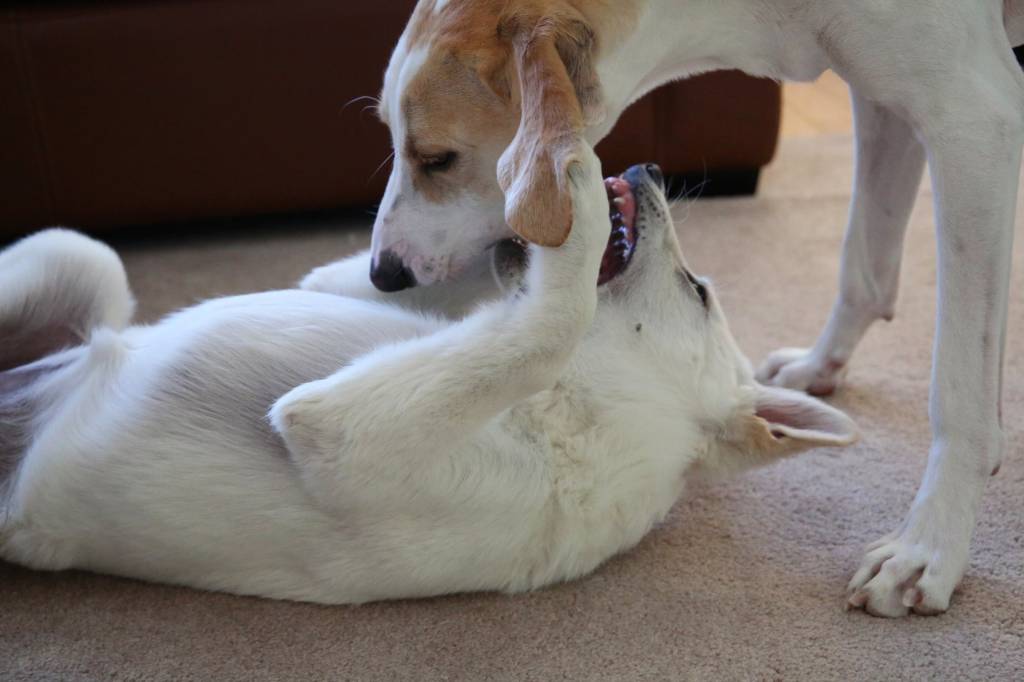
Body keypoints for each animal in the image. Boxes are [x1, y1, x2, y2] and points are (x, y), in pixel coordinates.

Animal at [0, 157, 857, 603]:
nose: (646, 166)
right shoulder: (363, 296)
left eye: (698, 290)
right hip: (78, 256)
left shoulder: (341, 434)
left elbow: (547, 327)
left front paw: (575, 205)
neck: (580, 403)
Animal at [298, 0, 1024, 617]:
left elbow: (959, 391)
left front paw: (927, 548)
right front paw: (823, 363)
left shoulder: (973, 119)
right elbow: (864, 264)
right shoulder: (882, 99)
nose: (385, 273)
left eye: (437, 158)